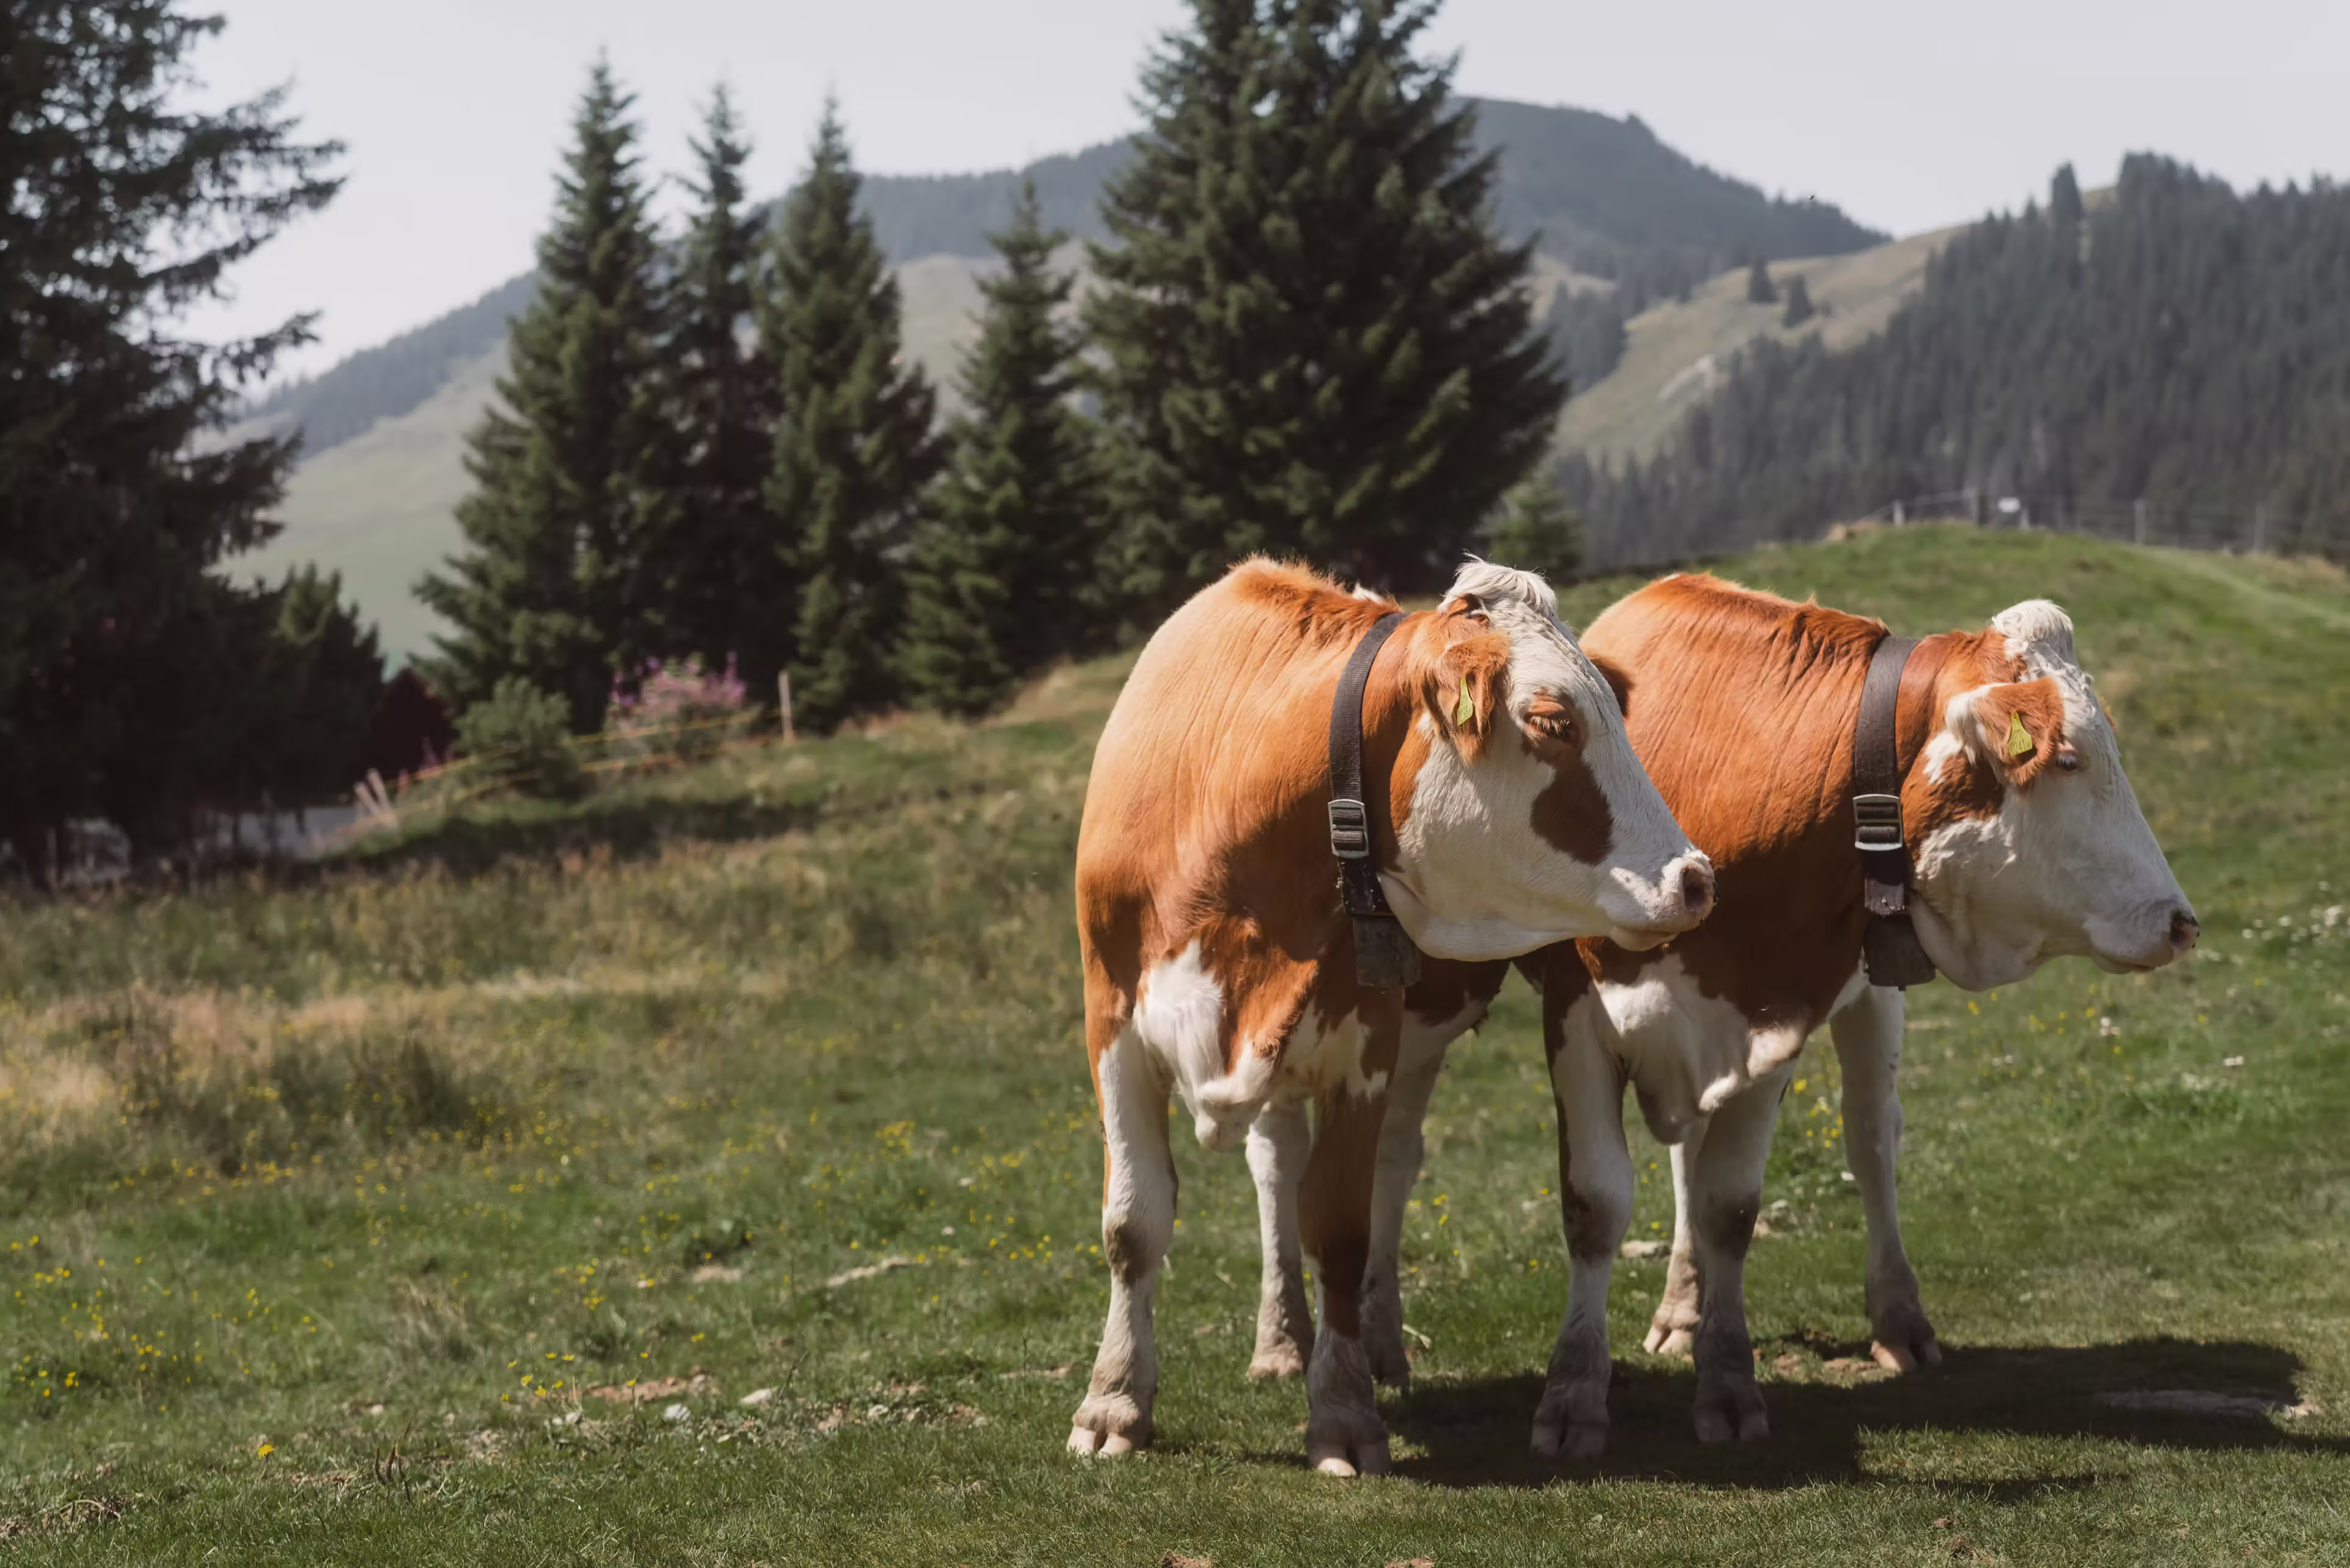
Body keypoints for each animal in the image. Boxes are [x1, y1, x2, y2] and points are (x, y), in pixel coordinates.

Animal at [1069, 558, 1715, 1475]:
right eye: (1553, 721)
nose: (1695, 878)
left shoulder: (1364, 1044)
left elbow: (1340, 1226)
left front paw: (1342, 1413)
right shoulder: (1112, 1026)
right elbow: (1132, 1222)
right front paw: (1113, 1402)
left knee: (1388, 1168)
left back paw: (1373, 1342)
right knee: (1276, 1163)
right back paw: (1281, 1340)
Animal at [1245, 573, 2200, 1459]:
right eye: (2067, 758)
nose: (2180, 921)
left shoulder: (1773, 1019)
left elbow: (1729, 1206)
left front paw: (1728, 1379)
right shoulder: (1577, 1015)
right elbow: (1594, 1203)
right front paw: (1574, 1393)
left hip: (1866, 1006)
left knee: (1867, 1141)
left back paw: (1866, 1315)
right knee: (1307, 1154)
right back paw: (1294, 1341)